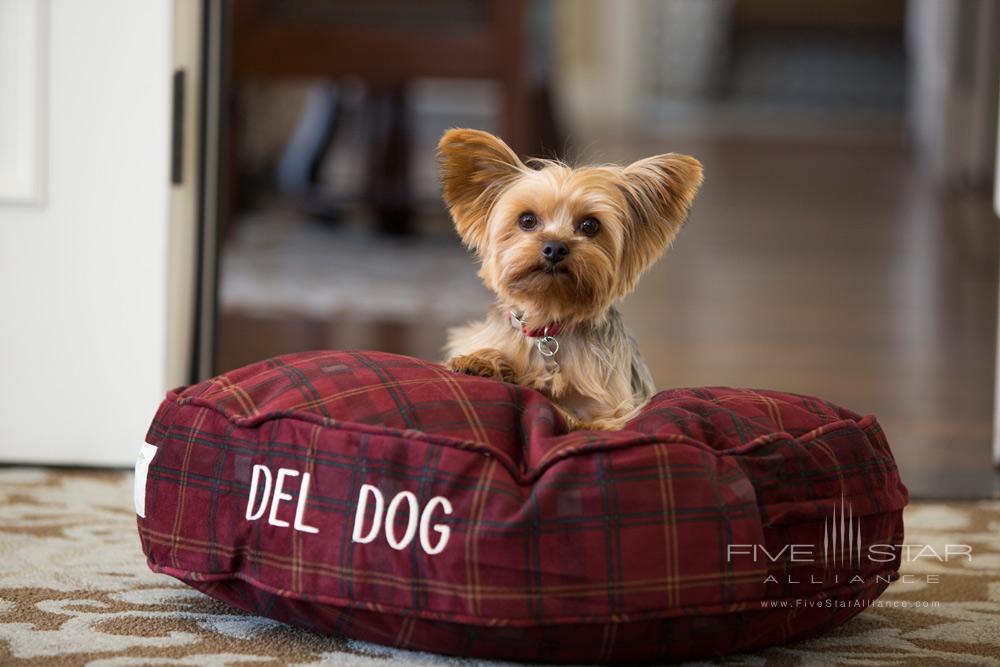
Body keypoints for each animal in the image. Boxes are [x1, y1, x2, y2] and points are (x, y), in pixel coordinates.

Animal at [438, 130, 704, 430]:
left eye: (590, 225)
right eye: (527, 220)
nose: (555, 247)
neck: (547, 326)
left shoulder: (608, 413)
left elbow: (565, 409)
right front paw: (483, 361)